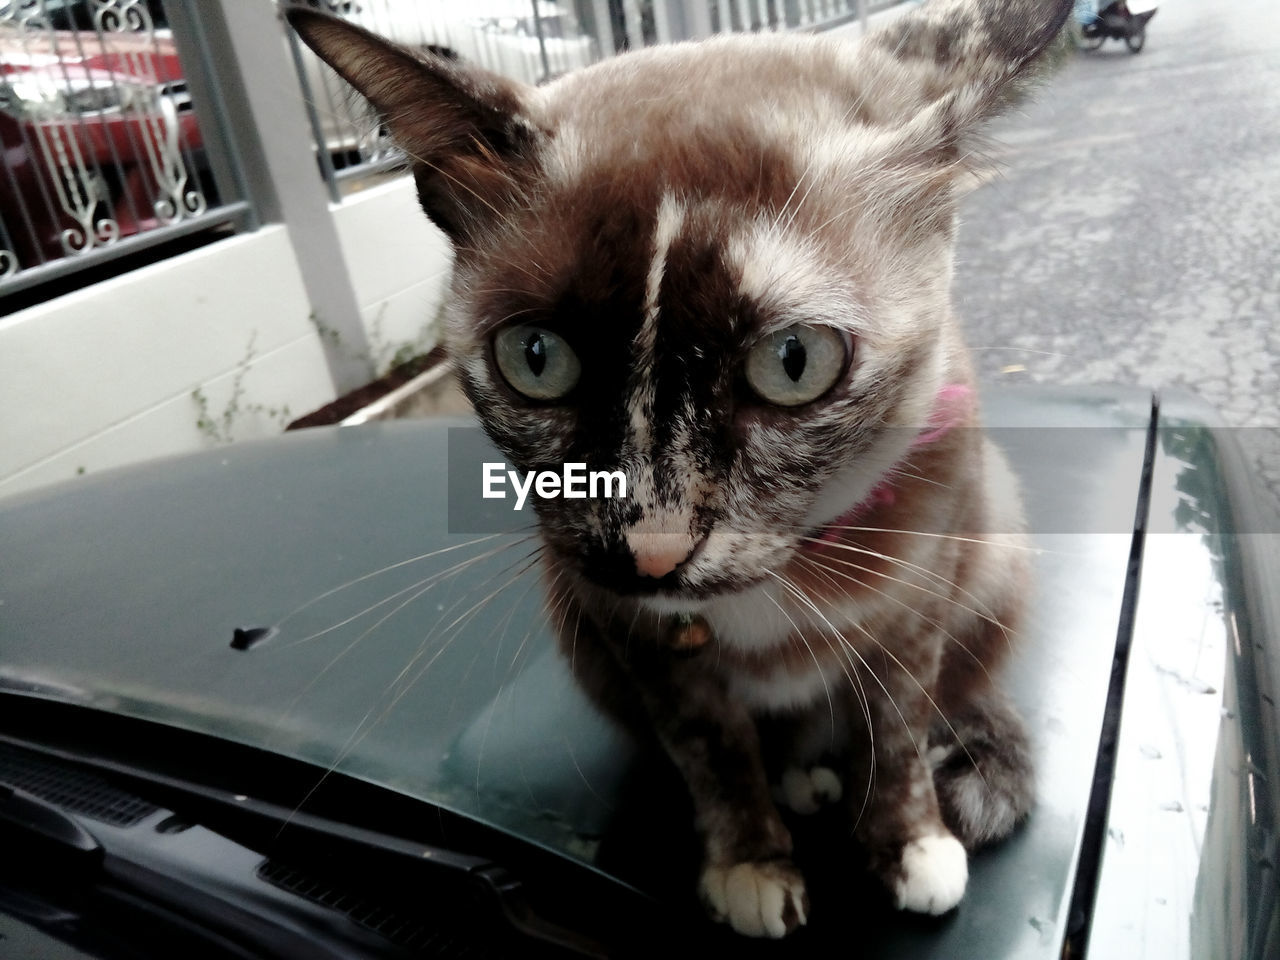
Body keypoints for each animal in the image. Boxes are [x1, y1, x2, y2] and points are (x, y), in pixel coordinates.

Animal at [285, 0, 1064, 942]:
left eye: (795, 362)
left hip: (996, 541)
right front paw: (751, 863)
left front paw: (907, 843)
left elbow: (899, 725)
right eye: (536, 357)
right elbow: (711, 747)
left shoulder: (917, 598)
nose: (650, 550)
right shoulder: (631, 632)